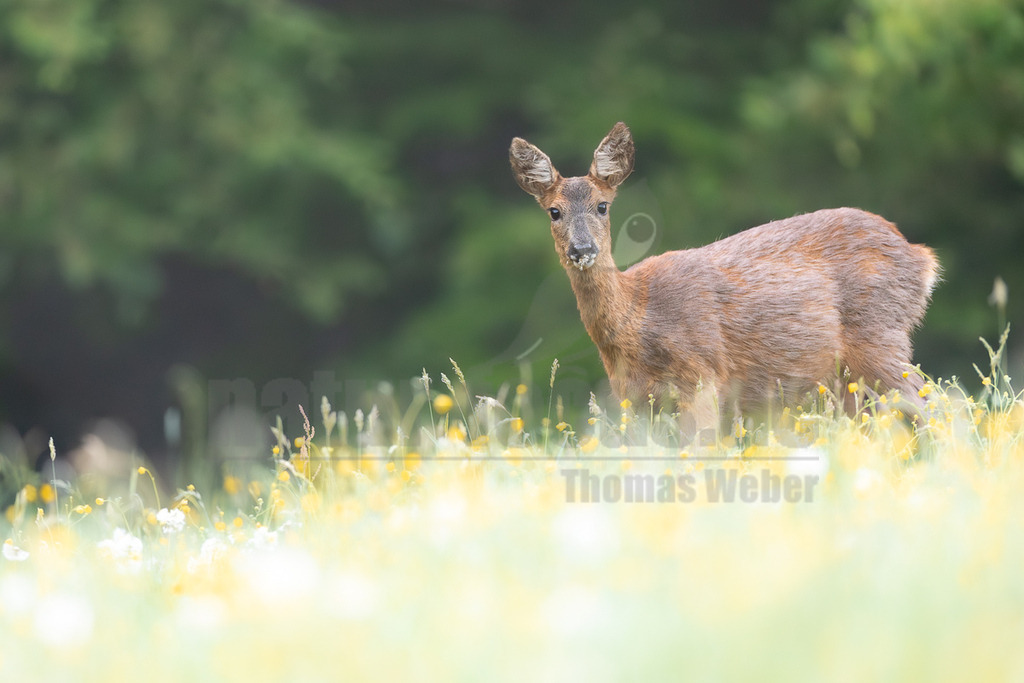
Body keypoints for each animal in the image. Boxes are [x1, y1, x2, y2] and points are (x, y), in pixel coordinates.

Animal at [509, 122, 939, 436]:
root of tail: (922, 257)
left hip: (880, 336)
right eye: (554, 211)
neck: (639, 318)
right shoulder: (634, 396)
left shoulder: (702, 376)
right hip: (847, 377)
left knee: (936, 409)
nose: (581, 249)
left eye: (602, 206)